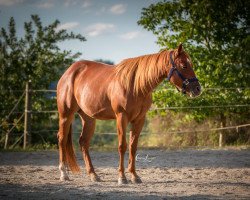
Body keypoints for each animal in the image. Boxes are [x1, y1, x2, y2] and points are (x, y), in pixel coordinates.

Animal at [56, 43, 201, 184]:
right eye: (184, 65)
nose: (197, 89)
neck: (136, 85)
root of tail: (69, 73)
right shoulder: (121, 117)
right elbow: (122, 146)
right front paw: (122, 177)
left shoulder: (139, 119)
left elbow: (133, 147)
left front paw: (134, 176)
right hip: (66, 115)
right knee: (62, 139)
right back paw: (63, 174)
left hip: (89, 118)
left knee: (83, 142)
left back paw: (93, 175)